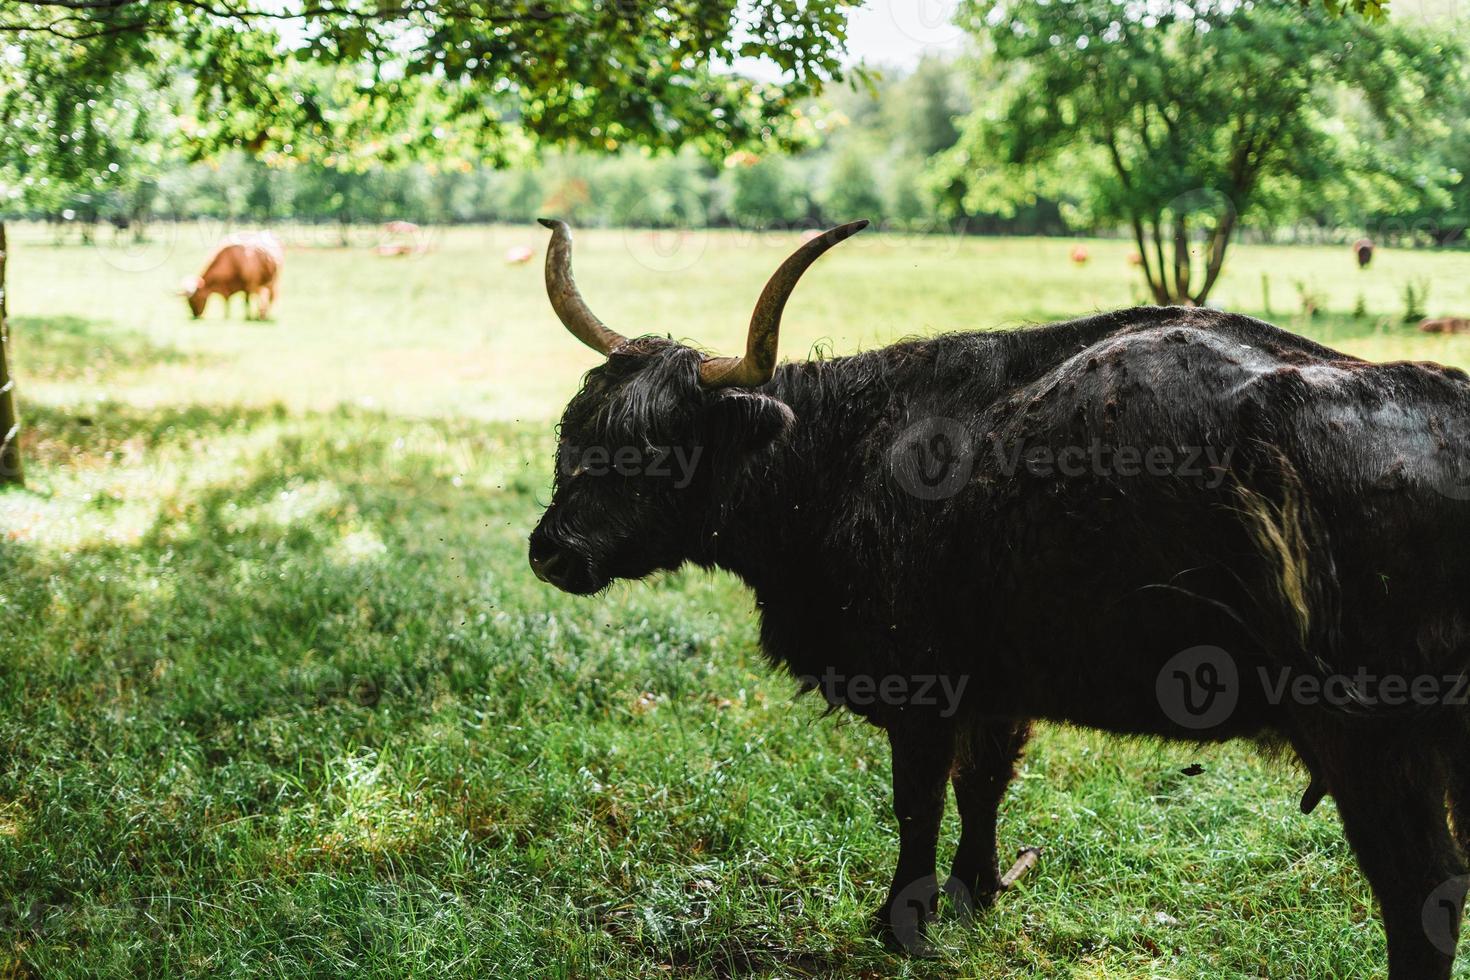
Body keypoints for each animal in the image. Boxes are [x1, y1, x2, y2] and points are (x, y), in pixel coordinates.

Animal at [535, 218, 1470, 975]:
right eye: (574, 430)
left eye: (660, 445)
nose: (552, 551)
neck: (844, 456)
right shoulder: (999, 682)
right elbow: (983, 785)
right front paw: (973, 890)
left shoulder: (921, 686)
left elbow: (917, 803)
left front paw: (901, 921)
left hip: (1371, 741)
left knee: (1423, 895)